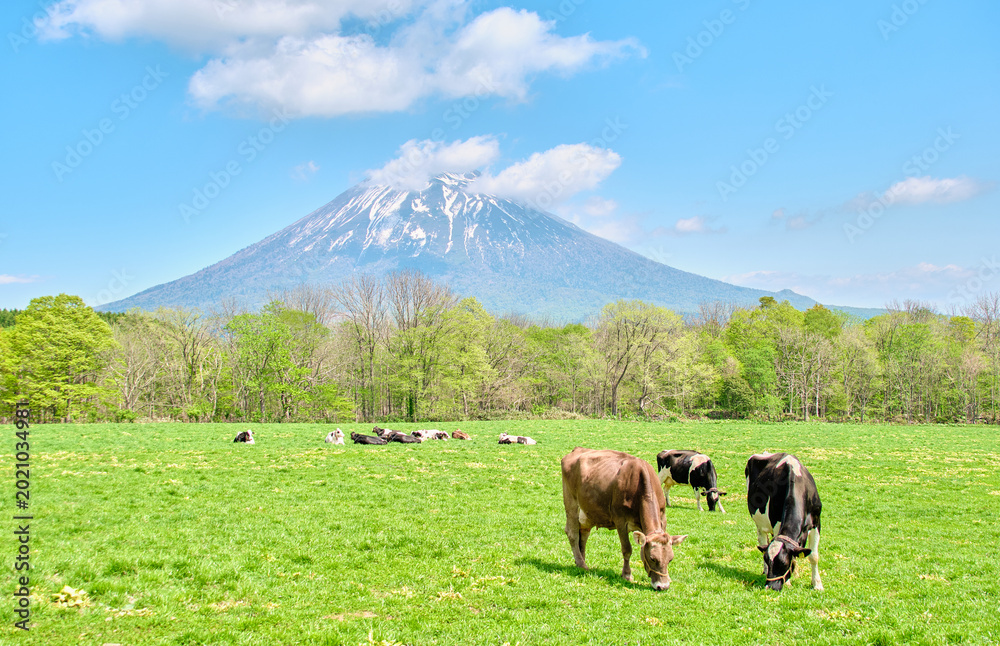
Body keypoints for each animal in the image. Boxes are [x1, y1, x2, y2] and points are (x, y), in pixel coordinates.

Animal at [561, 447, 688, 590]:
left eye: (670, 559)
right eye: (652, 558)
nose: (663, 586)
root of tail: (577, 450)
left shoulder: (662, 518)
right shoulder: (620, 520)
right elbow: (627, 549)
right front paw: (627, 574)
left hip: (588, 512)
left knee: (583, 535)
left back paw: (580, 561)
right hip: (571, 504)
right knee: (572, 534)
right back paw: (582, 564)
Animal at [745, 452, 823, 591]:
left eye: (783, 563)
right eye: (767, 560)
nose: (770, 587)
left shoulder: (816, 523)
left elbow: (813, 556)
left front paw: (817, 584)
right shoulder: (777, 523)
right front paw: (788, 582)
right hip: (759, 522)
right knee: (763, 540)